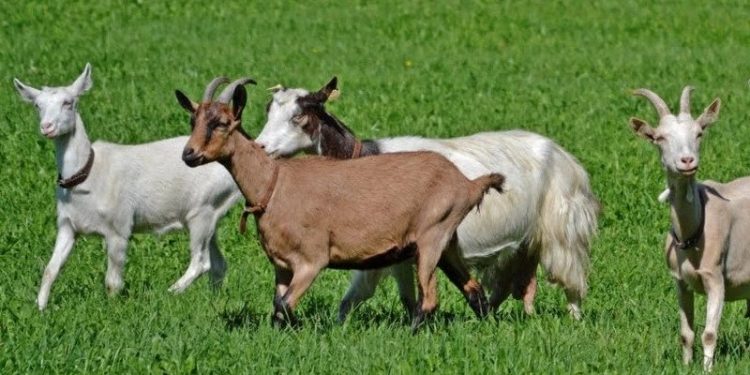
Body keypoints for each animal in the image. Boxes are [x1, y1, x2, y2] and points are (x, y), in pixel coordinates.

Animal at [176, 78, 506, 330]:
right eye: (193, 120)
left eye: (222, 123)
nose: (189, 155)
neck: (273, 183)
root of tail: (467, 183)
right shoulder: (281, 266)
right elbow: (277, 307)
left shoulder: (311, 259)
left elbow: (285, 305)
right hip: (446, 242)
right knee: (474, 290)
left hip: (431, 236)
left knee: (430, 299)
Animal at [256, 78, 604, 322]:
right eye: (269, 111)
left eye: (298, 116)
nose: (260, 147)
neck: (364, 159)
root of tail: (568, 159)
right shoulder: (398, 254)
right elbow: (403, 298)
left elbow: (357, 294)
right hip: (522, 245)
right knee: (512, 285)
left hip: (563, 231)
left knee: (571, 281)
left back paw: (574, 318)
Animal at [628, 86, 748, 372]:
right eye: (659, 138)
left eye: (699, 133)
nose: (687, 160)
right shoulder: (680, 281)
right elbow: (686, 333)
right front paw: (685, 366)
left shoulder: (716, 278)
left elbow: (709, 334)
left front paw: (707, 369)